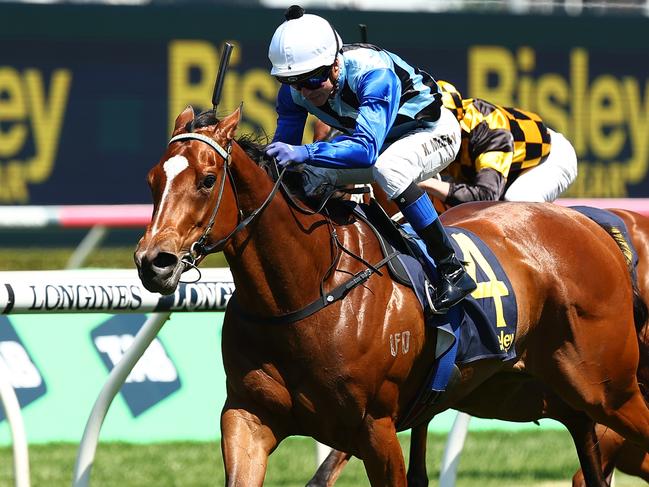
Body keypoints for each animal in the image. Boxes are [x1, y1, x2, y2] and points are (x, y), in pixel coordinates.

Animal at [134, 107, 648, 487]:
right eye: (153, 179)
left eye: (206, 180)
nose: (153, 261)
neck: (304, 293)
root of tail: (591, 227)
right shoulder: (248, 416)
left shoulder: (376, 428)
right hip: (545, 398)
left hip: (608, 390)